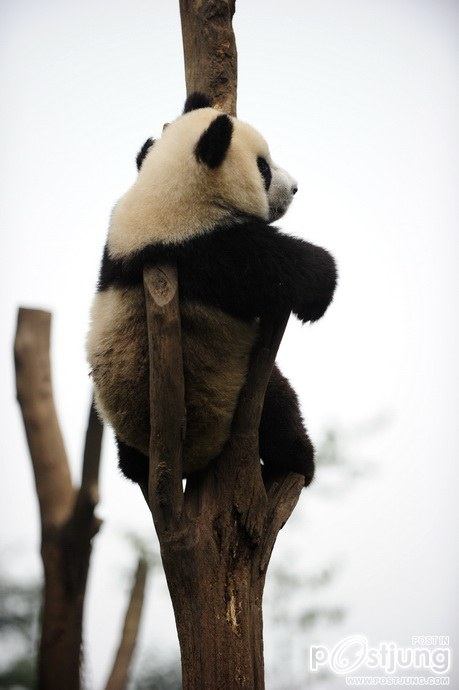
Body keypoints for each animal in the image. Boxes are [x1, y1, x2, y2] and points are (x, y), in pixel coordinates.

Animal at [87, 93, 337, 486]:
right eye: (263, 168)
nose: (295, 188)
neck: (164, 194)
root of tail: (183, 461)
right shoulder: (205, 251)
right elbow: (274, 267)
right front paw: (322, 286)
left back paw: (132, 466)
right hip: (227, 391)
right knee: (278, 406)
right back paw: (298, 459)